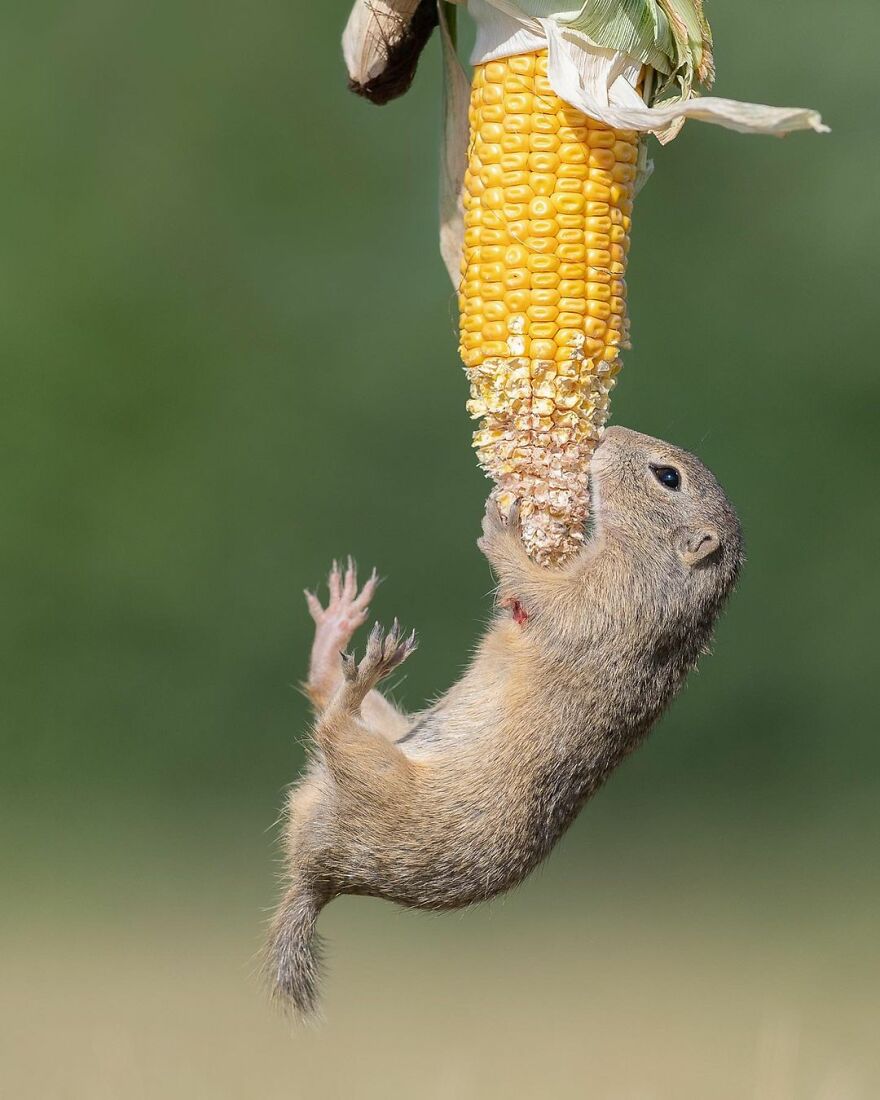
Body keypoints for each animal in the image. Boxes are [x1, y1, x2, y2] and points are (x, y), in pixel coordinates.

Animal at [267, 426, 744, 1017]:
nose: (607, 432)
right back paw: (336, 627)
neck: (667, 575)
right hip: (390, 734)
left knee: (332, 730)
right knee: (322, 692)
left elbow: (546, 596)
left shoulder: (609, 600)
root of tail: (318, 874)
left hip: (377, 773)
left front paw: (504, 531)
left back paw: (362, 670)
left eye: (668, 477)